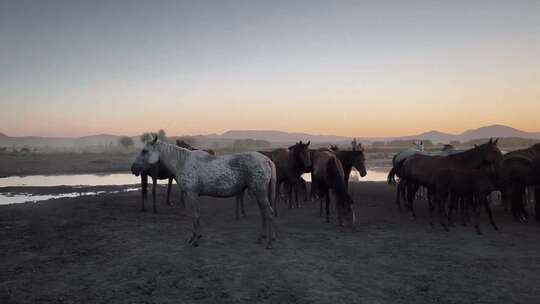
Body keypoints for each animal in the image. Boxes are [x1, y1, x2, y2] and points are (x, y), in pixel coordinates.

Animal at [129, 137, 276, 248]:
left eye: (144, 151)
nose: (133, 168)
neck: (183, 162)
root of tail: (267, 160)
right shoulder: (192, 196)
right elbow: (195, 216)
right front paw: (195, 237)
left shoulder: (192, 195)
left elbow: (195, 215)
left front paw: (195, 240)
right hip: (258, 193)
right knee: (263, 213)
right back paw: (261, 238)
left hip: (260, 192)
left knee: (268, 213)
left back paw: (269, 242)